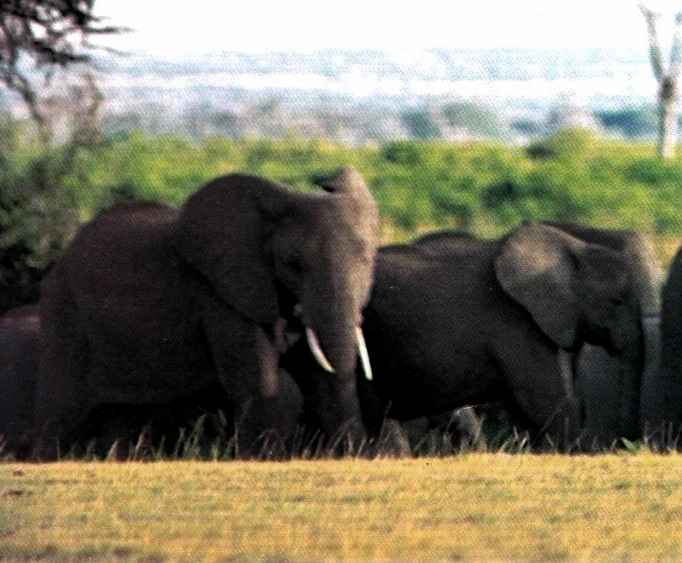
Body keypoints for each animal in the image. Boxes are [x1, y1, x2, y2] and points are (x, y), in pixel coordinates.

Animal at [31, 166, 380, 458]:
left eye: (367, 259)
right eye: (293, 264)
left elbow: (322, 379)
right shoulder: (219, 293)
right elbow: (260, 379)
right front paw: (261, 460)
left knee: (121, 415)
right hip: (66, 314)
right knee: (59, 411)